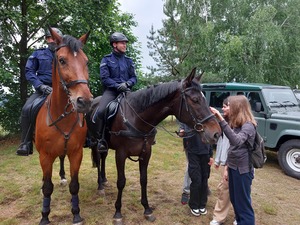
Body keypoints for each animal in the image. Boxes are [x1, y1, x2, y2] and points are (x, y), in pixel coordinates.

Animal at [34, 28, 92, 225]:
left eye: (86, 61)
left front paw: (76, 214)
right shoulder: (45, 156)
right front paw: (44, 216)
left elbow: (74, 186)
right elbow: (47, 187)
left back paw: (62, 176)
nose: (84, 101)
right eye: (61, 60)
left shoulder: (76, 153)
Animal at [85, 68, 221, 225]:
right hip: (96, 142)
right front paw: (118, 212)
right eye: (195, 100)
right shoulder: (121, 154)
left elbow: (144, 180)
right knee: (99, 158)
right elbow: (121, 182)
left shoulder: (146, 153)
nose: (216, 133)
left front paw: (147, 209)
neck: (136, 118)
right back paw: (100, 185)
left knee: (103, 158)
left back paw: (104, 180)